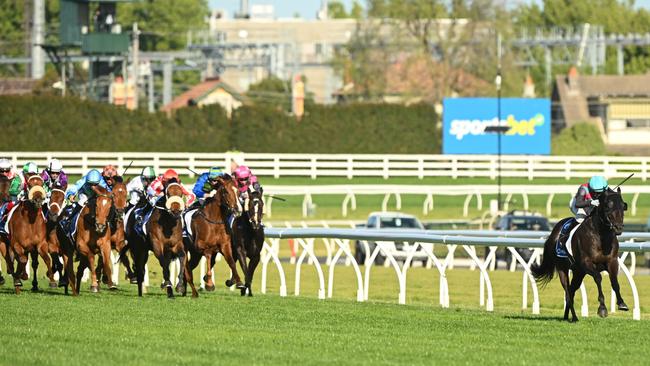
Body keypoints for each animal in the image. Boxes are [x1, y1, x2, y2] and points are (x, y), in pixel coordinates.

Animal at [532, 187, 628, 322]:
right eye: (607, 206)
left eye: (622, 205)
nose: (618, 227)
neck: (601, 237)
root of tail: (553, 233)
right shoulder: (586, 263)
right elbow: (598, 277)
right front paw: (602, 308)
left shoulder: (612, 261)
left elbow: (614, 282)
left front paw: (621, 303)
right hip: (563, 268)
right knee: (567, 291)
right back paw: (574, 317)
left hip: (578, 272)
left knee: (571, 291)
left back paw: (567, 316)